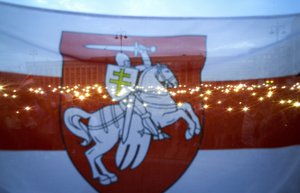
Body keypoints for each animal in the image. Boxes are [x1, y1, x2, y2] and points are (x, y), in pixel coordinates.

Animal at [64, 64, 203, 185]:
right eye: (167, 71)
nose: (176, 83)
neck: (154, 96)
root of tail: (91, 116)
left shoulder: (172, 111)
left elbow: (187, 107)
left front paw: (196, 128)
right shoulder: (166, 118)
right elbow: (182, 113)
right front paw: (190, 132)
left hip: (105, 143)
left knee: (97, 157)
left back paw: (108, 176)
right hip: (106, 142)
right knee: (90, 155)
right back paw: (101, 178)